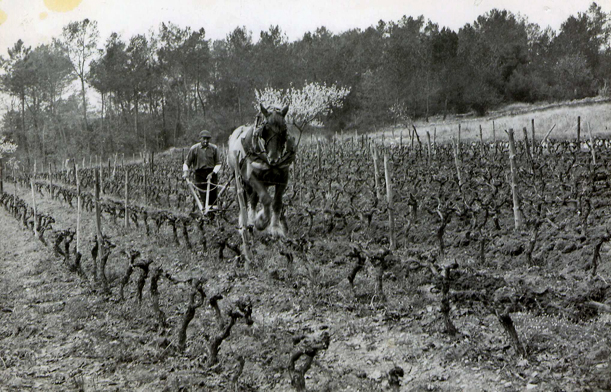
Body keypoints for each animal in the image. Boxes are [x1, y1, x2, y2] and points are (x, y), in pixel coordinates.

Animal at [228, 103, 298, 236]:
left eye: (284, 130)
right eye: (265, 130)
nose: (274, 159)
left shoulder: (283, 178)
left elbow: (276, 203)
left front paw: (275, 228)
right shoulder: (252, 177)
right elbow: (266, 199)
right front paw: (261, 221)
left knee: (254, 200)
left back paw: (252, 219)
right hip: (239, 179)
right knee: (243, 200)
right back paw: (245, 224)